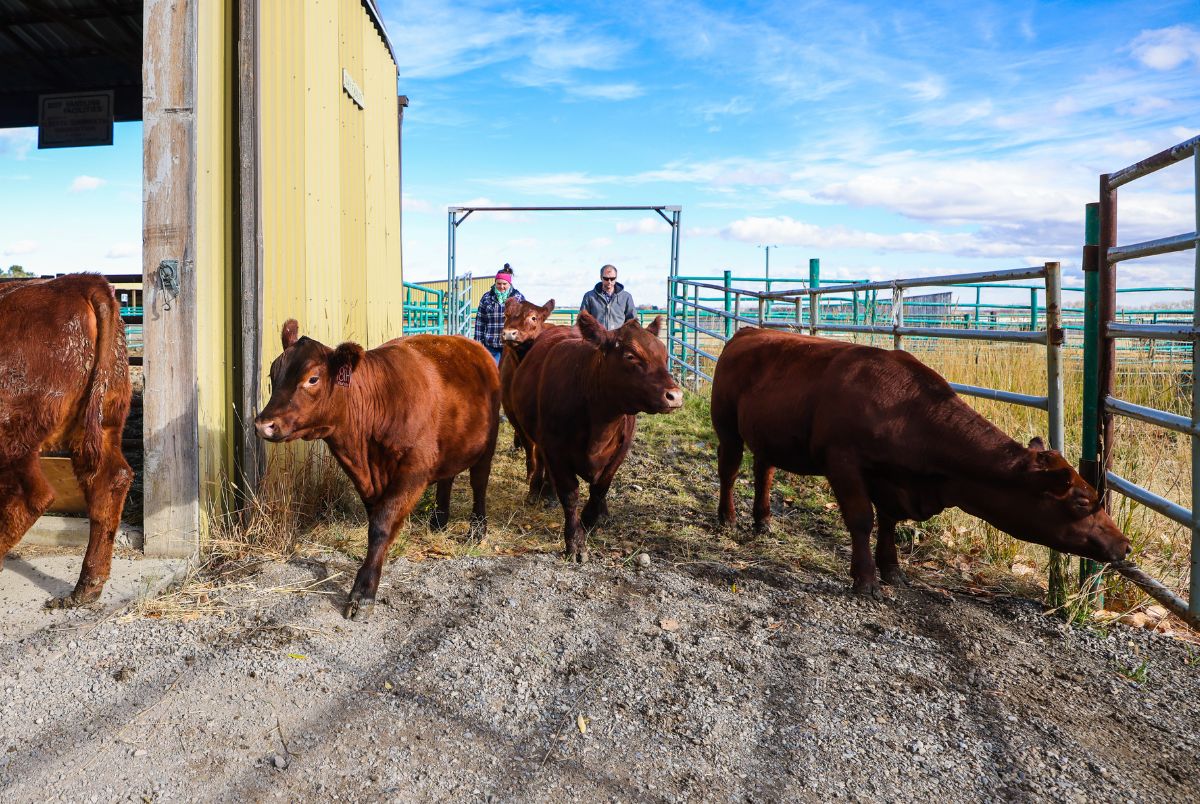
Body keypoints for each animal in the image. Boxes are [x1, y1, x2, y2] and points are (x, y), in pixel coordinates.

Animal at [0, 273, 132, 607]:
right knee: (110, 480)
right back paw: (87, 587)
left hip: (12, 437)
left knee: (30, 498)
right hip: (103, 422)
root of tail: (79, 281)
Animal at [255, 321, 499, 624]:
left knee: (479, 482)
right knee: (447, 478)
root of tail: (472, 346)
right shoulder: (364, 476)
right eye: (273, 373)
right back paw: (438, 521)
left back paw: (477, 529)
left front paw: (364, 591)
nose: (263, 424)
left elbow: (381, 524)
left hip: (487, 444)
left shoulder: (414, 468)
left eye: (312, 379)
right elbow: (376, 518)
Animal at [511, 312, 691, 564]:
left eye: (664, 356)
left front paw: (591, 519)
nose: (674, 396)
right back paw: (542, 491)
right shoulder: (555, 450)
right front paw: (576, 541)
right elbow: (570, 495)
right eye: (630, 356)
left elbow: (600, 489)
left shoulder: (620, 451)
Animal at [710, 326, 1132, 597]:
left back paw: (763, 521)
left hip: (767, 436)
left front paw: (893, 570)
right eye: (1081, 501)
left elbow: (888, 522)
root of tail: (748, 331)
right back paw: (727, 518)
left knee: (764, 470)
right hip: (727, 426)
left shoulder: (892, 480)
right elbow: (862, 519)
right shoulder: (843, 461)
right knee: (729, 470)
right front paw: (866, 580)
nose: (1125, 545)